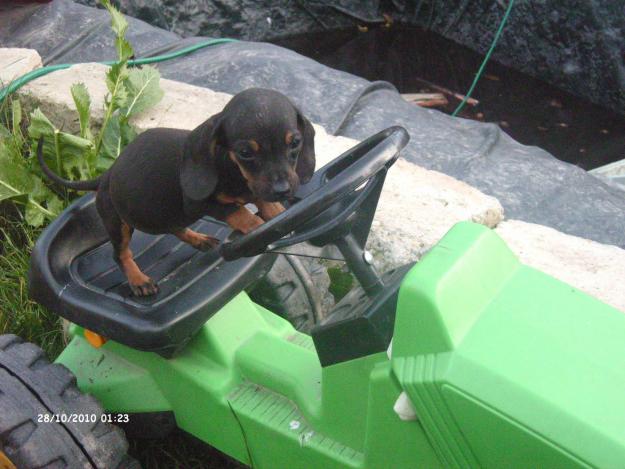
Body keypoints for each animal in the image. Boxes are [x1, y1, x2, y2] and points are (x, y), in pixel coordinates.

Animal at [36, 88, 314, 296]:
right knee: (120, 254)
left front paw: (276, 213)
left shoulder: (255, 187)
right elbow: (238, 212)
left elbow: (260, 200)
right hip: (118, 221)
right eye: (245, 152)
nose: (283, 190)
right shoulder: (199, 204)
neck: (232, 169)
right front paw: (256, 225)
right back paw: (138, 280)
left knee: (174, 227)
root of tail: (105, 177)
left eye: (295, 142)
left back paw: (198, 239)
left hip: (163, 214)